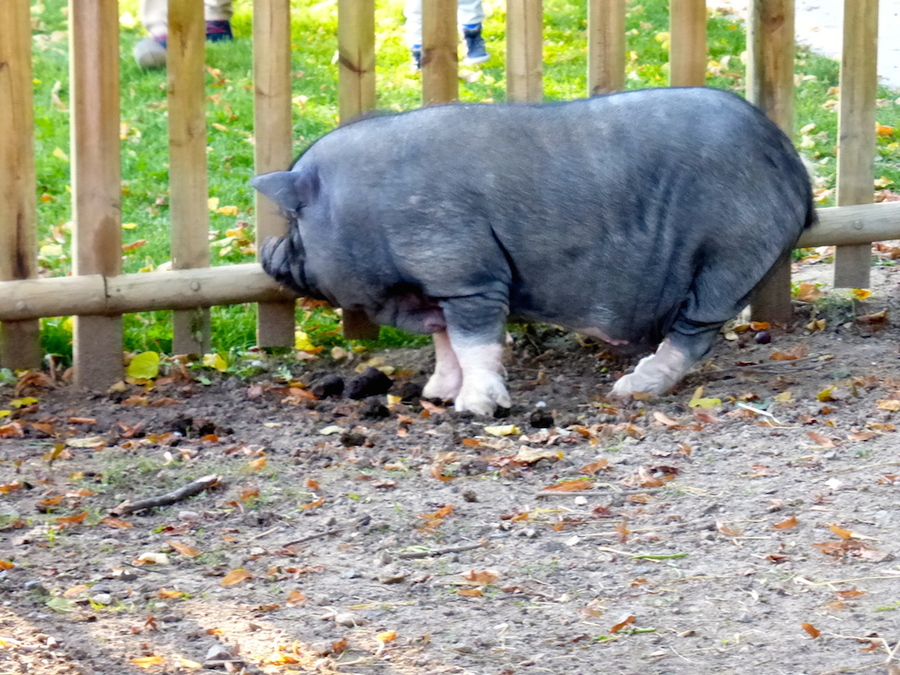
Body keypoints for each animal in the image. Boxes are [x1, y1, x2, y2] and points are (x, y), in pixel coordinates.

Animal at [255, 87, 816, 414]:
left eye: (294, 221)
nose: (266, 251)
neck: (364, 209)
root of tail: (792, 163)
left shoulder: (464, 272)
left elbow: (474, 341)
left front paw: (475, 410)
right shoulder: (437, 288)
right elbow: (445, 343)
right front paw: (437, 395)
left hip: (730, 252)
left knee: (695, 330)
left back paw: (630, 388)